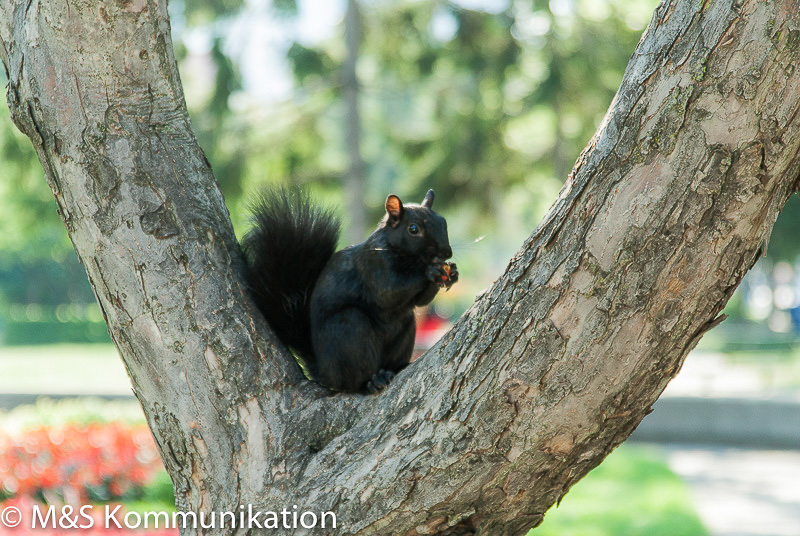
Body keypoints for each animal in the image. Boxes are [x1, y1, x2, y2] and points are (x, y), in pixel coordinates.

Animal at [242, 188, 456, 394]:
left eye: (443, 221)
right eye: (413, 229)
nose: (447, 253)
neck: (405, 256)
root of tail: (324, 372)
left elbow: (420, 301)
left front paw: (451, 273)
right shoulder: (373, 264)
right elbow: (388, 292)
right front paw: (430, 271)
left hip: (404, 328)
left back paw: (397, 368)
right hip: (348, 331)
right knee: (351, 382)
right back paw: (370, 383)